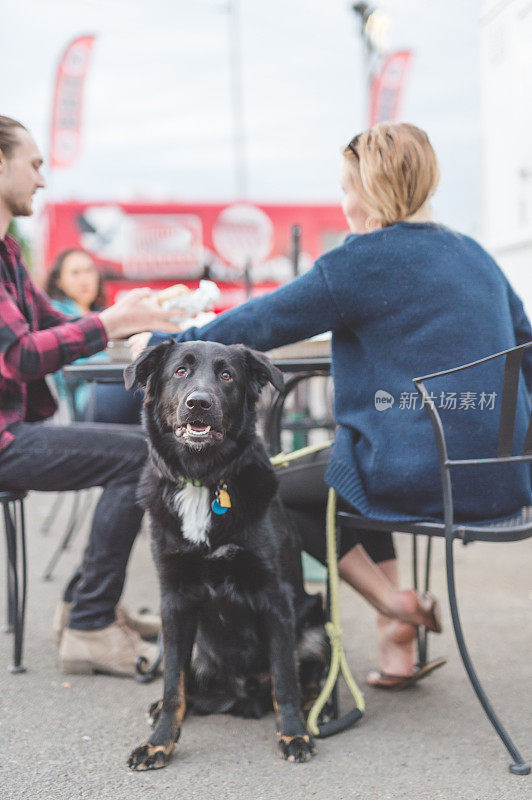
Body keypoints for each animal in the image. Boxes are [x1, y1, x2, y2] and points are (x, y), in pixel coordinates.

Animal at [124, 340, 328, 772]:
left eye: (227, 375)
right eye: (180, 372)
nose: (198, 403)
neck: (204, 481)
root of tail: (242, 693)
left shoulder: (275, 597)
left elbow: (285, 677)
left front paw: (294, 733)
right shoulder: (174, 601)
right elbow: (173, 685)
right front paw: (159, 743)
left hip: (316, 619)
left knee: (305, 677)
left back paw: (319, 709)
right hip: (197, 647)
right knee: (187, 686)